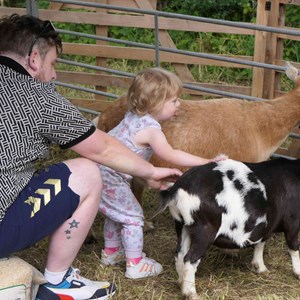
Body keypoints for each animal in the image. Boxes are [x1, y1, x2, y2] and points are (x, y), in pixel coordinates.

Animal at [158, 158, 300, 298]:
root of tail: (177, 188)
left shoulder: (265, 225)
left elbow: (261, 242)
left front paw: (260, 268)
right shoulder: (293, 222)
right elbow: (294, 247)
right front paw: (298, 273)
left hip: (182, 225)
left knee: (180, 255)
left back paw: (180, 283)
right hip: (205, 229)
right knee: (189, 259)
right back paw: (191, 294)